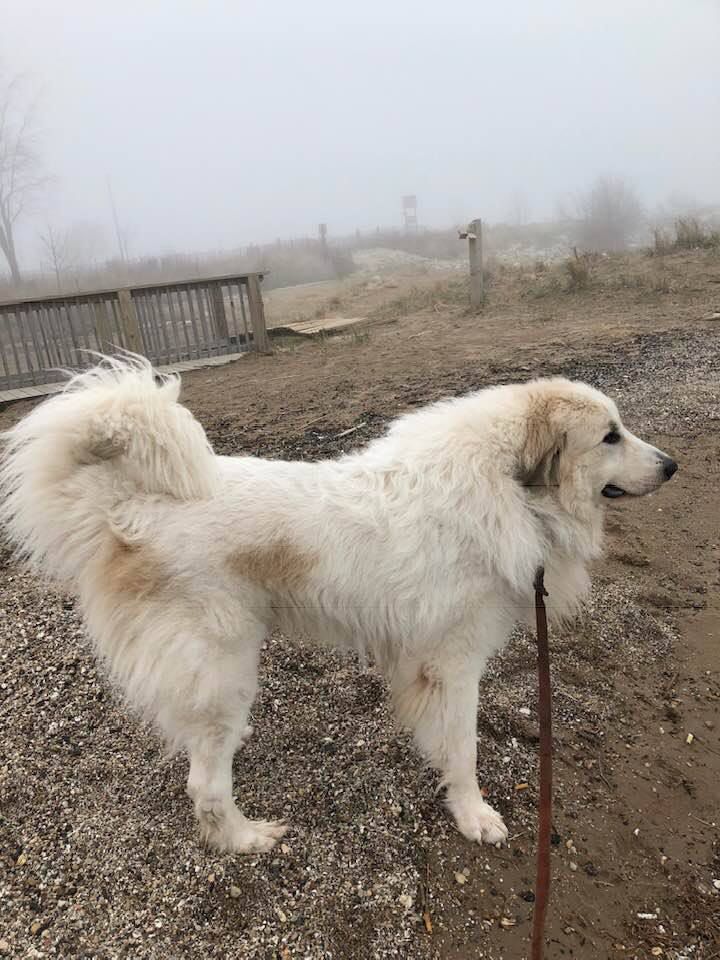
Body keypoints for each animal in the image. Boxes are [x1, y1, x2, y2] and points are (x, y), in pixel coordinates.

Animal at [0, 356, 676, 852]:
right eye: (610, 436)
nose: (671, 466)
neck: (511, 490)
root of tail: (130, 509)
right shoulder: (455, 664)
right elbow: (464, 748)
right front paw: (473, 814)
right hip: (222, 668)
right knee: (205, 785)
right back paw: (245, 839)